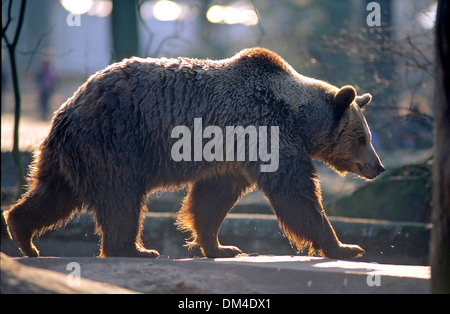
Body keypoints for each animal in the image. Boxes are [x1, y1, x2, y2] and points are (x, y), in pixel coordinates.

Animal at [2, 48, 384, 260]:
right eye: (362, 137)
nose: (377, 167)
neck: (295, 116)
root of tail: (67, 107)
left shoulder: (231, 153)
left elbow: (211, 199)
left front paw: (222, 247)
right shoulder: (261, 129)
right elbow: (295, 195)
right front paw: (345, 247)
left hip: (71, 153)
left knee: (54, 194)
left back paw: (24, 235)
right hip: (114, 141)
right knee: (120, 198)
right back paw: (136, 249)